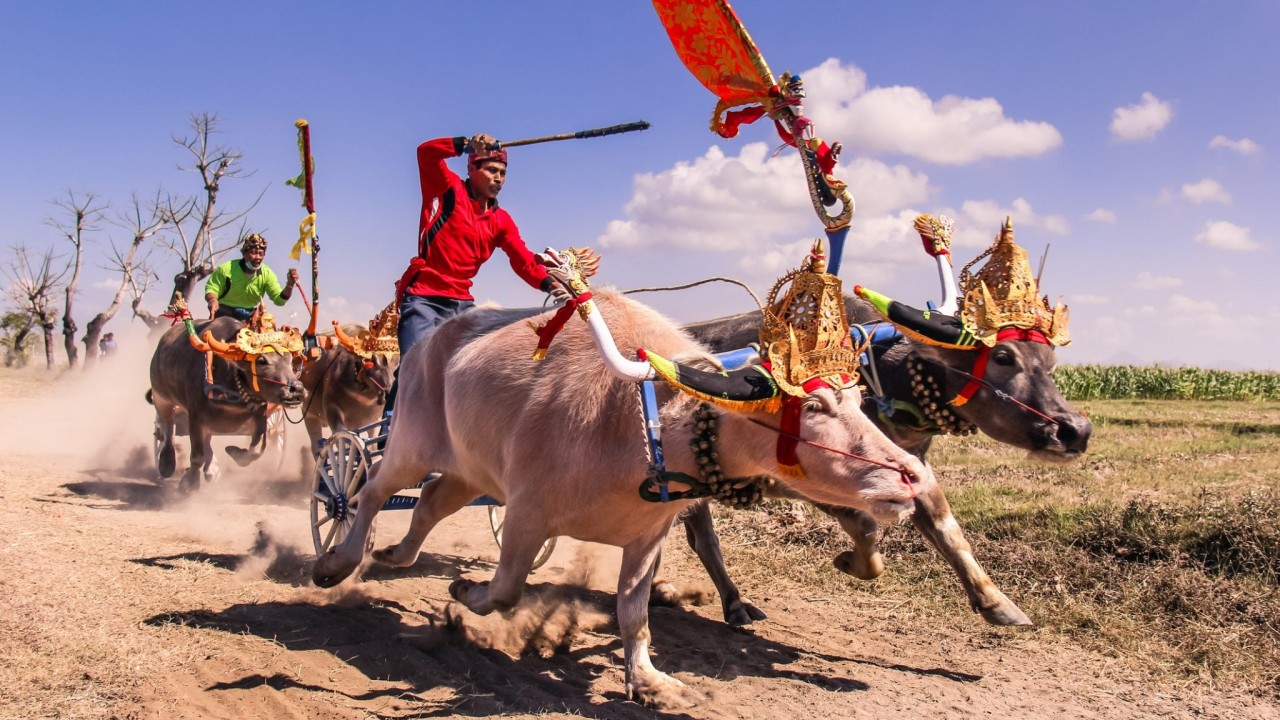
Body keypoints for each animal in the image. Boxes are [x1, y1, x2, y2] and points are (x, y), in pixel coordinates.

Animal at [147, 313, 307, 486]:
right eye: (261, 361)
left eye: (290, 359)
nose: (296, 389)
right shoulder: (195, 416)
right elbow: (197, 455)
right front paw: (190, 482)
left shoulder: (259, 415)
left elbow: (257, 449)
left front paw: (235, 452)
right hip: (161, 397)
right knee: (167, 427)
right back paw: (166, 462)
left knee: (205, 438)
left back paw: (212, 469)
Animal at [309, 244, 931, 702]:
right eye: (815, 406)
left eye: (858, 398)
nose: (912, 478)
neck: (643, 422)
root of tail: (428, 346)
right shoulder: (526, 512)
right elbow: (506, 588)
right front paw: (465, 590)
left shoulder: (646, 535)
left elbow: (633, 612)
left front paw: (649, 679)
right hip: (411, 442)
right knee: (370, 491)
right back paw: (337, 561)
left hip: (472, 471)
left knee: (433, 498)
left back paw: (394, 554)